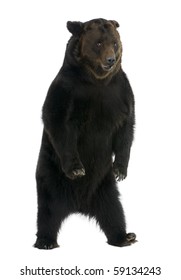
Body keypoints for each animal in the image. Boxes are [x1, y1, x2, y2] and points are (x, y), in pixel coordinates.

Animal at [33, 18, 136, 249]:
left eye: (114, 43)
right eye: (98, 43)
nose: (110, 60)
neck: (96, 80)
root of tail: (78, 205)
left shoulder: (121, 92)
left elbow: (126, 128)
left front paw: (121, 169)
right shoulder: (67, 91)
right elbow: (58, 122)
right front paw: (77, 169)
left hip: (104, 186)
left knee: (114, 211)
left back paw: (124, 237)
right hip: (49, 175)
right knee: (47, 212)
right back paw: (45, 240)